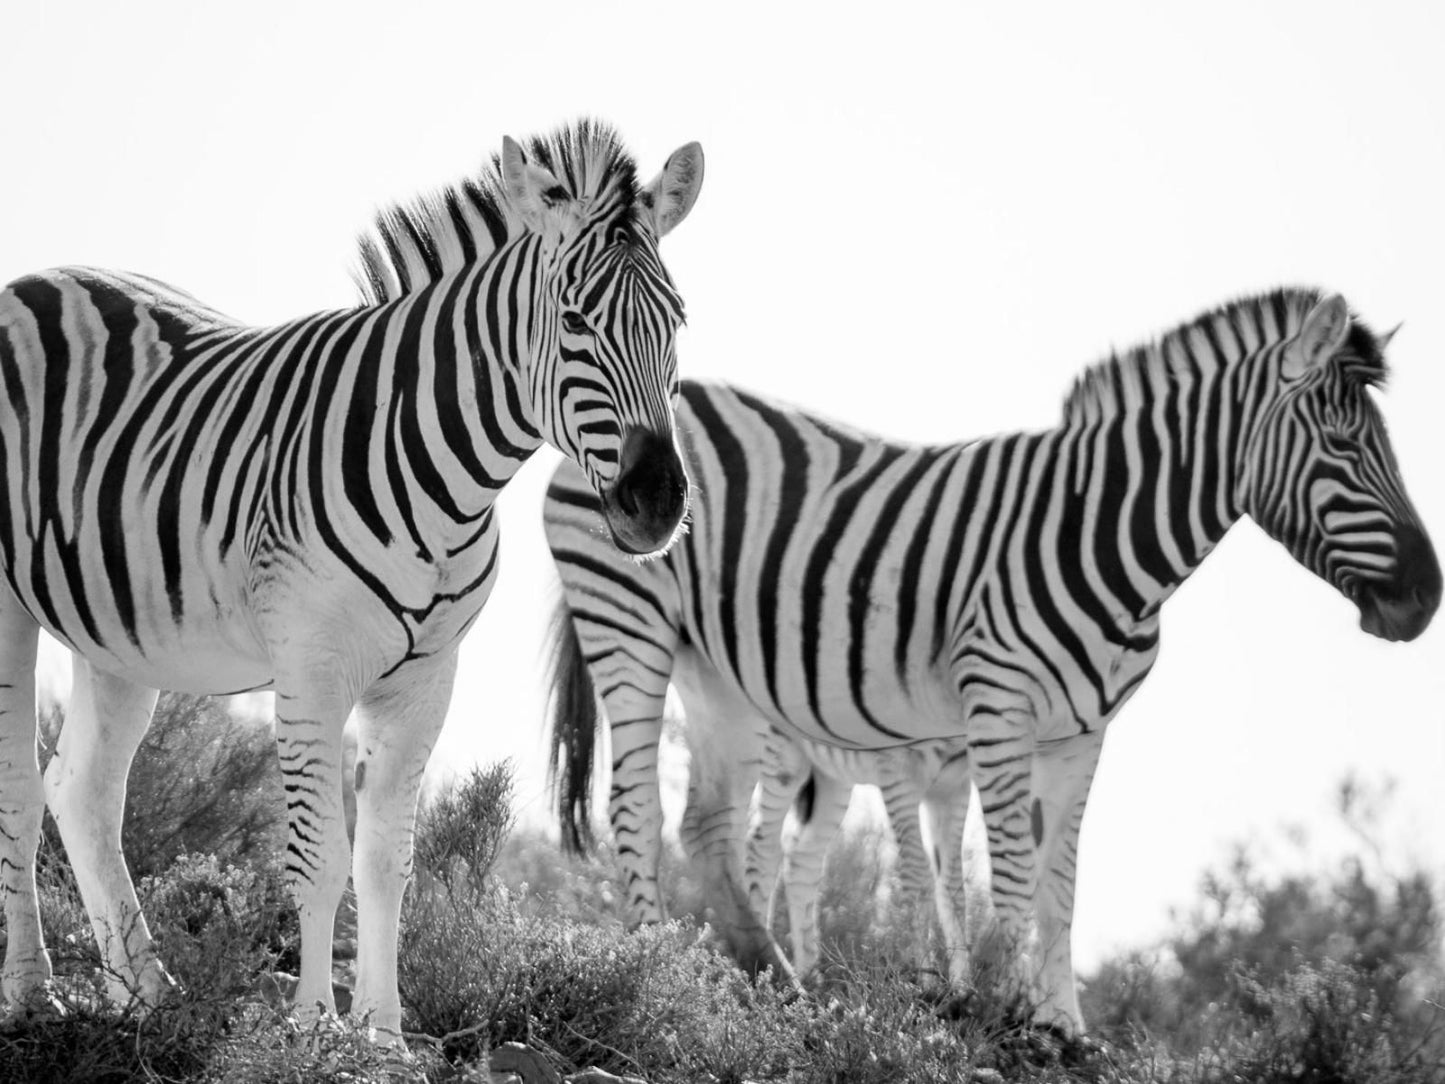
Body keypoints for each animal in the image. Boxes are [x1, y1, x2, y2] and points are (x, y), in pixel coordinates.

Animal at [0, 118, 705, 1046]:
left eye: (679, 320)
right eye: (574, 320)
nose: (656, 501)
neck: (447, 481)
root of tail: (33, 280)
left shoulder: (427, 676)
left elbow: (385, 861)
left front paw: (384, 1031)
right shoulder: (310, 665)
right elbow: (318, 854)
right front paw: (309, 1023)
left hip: (120, 631)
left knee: (81, 791)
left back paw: (147, 995)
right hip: (7, 604)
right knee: (19, 789)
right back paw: (31, 994)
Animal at [543, 289, 1433, 1034]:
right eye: (1343, 446)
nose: (1426, 597)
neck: (1101, 535)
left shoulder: (1079, 734)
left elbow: (1057, 885)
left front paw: (1063, 1027)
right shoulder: (998, 707)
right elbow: (1002, 877)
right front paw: (1005, 1009)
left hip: (715, 669)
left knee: (710, 824)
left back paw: (773, 987)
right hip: (627, 616)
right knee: (636, 808)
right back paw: (651, 978)